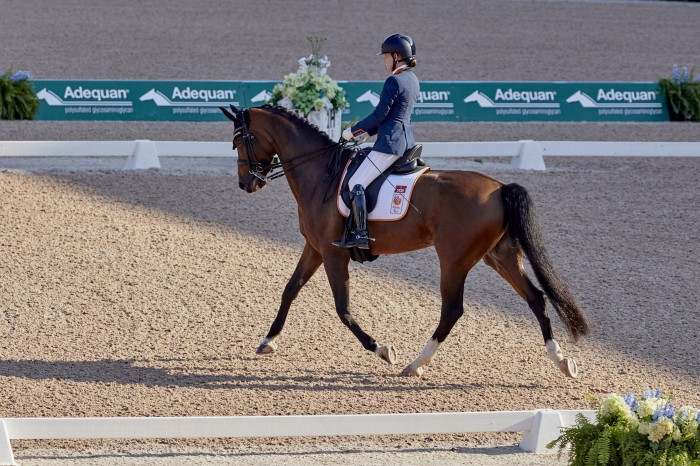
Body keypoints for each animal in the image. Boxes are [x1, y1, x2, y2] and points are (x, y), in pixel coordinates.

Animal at [220, 104, 592, 376]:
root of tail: (500, 188)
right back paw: (562, 362)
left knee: (452, 310)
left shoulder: (332, 252)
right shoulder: (315, 247)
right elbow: (290, 289)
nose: (246, 183)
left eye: (239, 141)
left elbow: (342, 309)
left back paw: (415, 364)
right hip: (500, 256)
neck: (319, 172)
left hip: (454, 259)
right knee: (536, 299)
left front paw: (382, 349)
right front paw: (268, 340)